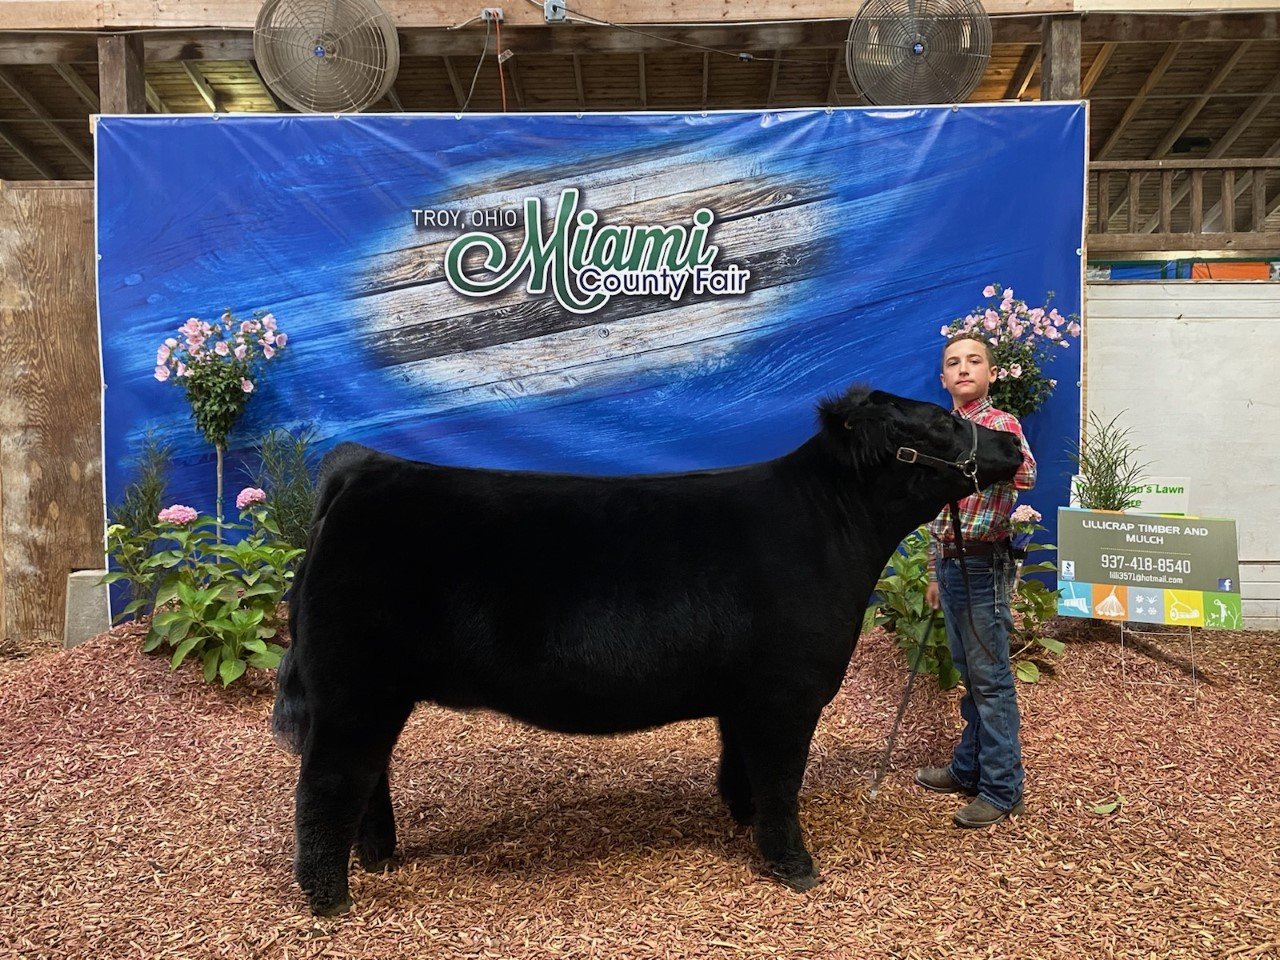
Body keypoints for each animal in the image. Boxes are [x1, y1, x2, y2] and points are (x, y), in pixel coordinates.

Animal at [273, 384, 1024, 915]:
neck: (831, 527)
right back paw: (330, 898)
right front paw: (794, 864)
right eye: (941, 423)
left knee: (367, 779)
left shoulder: (744, 696)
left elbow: (741, 766)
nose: (1014, 447)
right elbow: (781, 781)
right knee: (327, 785)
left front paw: (741, 822)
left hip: (375, 694)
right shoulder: (787, 693)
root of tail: (362, 470)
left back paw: (380, 857)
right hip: (353, 692)